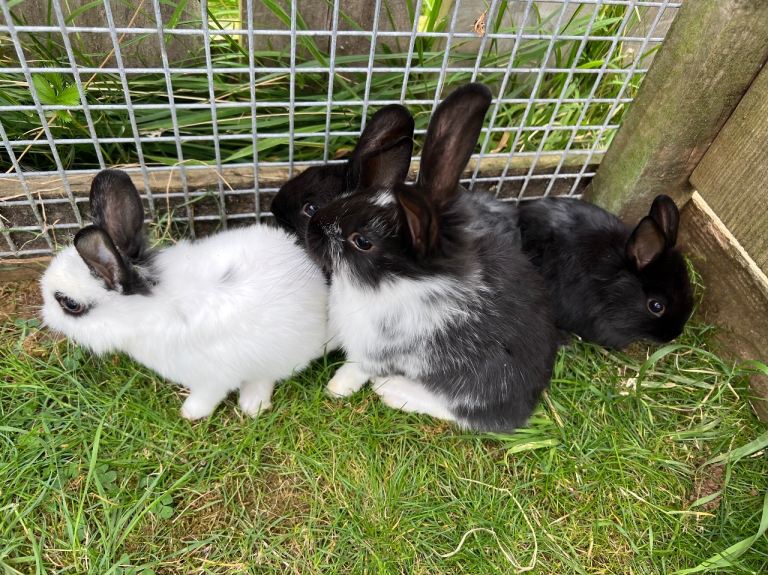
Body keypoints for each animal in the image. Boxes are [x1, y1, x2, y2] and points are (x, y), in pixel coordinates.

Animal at [40, 169, 331, 420]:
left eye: (69, 304)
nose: (45, 316)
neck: (147, 309)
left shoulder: (211, 376)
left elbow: (208, 395)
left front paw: (190, 413)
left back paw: (252, 405)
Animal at [304, 83, 559, 433]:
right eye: (346, 199)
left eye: (363, 242)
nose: (312, 228)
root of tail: (531, 395)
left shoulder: (377, 349)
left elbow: (356, 368)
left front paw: (336, 388)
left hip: (476, 383)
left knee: (468, 414)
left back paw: (393, 391)